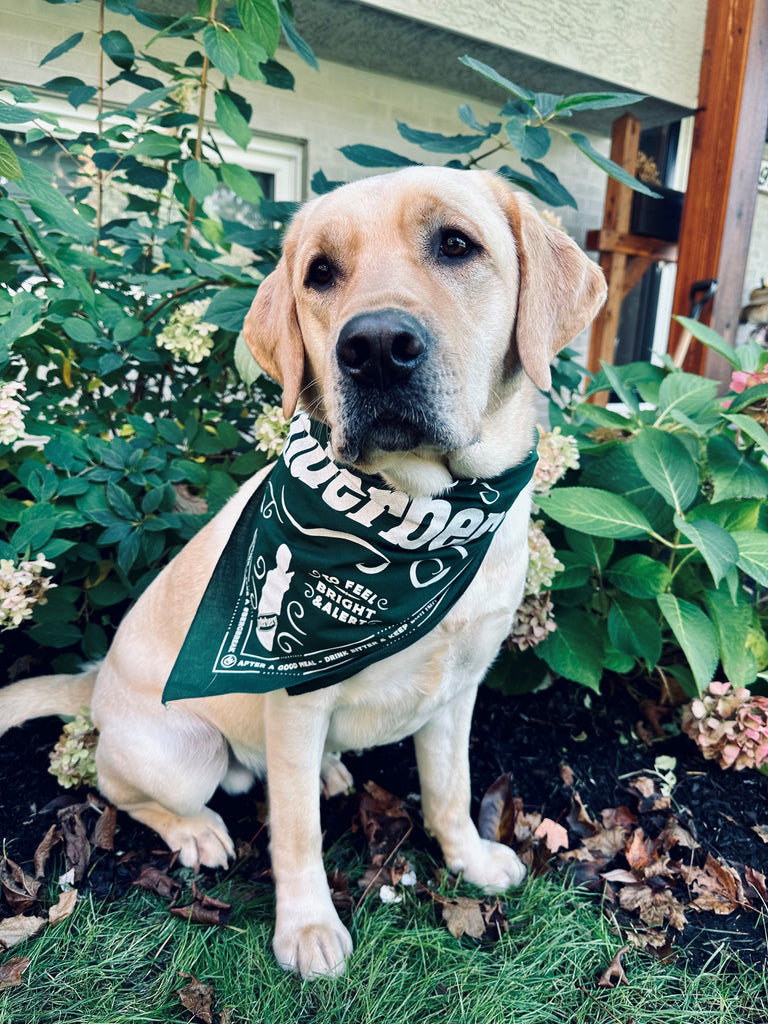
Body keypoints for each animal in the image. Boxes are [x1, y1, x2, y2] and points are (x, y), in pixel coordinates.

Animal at [0, 165, 606, 974]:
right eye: (320, 273)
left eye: (456, 244)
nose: (375, 346)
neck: (422, 513)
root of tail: (94, 682)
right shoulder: (293, 700)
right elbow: (297, 831)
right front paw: (308, 927)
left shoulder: (459, 690)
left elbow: (449, 791)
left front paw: (470, 859)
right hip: (186, 749)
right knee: (120, 787)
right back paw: (196, 828)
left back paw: (332, 770)